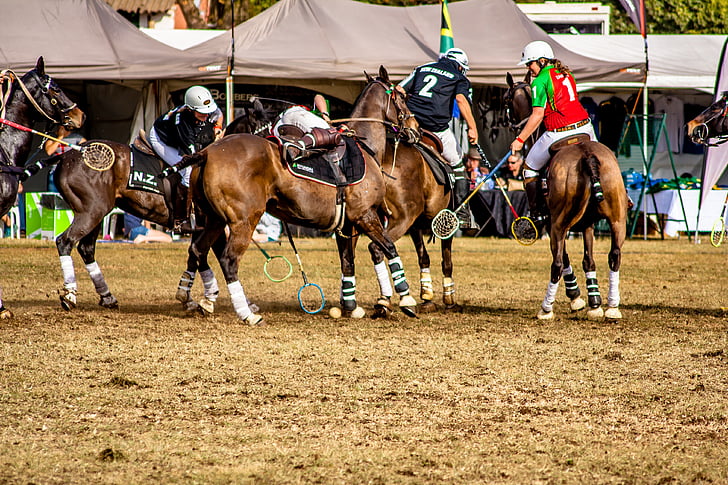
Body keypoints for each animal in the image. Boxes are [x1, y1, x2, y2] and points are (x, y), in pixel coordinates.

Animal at [171, 71, 420, 322]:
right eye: (403, 96)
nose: (416, 128)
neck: (366, 147)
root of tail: (206, 152)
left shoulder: (347, 225)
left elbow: (348, 262)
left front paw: (351, 305)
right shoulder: (365, 216)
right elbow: (389, 248)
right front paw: (406, 300)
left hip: (213, 218)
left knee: (198, 250)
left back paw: (197, 298)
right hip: (244, 220)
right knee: (228, 260)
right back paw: (247, 314)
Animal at [506, 72, 624, 320]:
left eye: (506, 100)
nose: (510, 127)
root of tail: (587, 156)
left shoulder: (552, 222)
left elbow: (566, 259)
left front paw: (577, 299)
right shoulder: (587, 223)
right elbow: (589, 260)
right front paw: (595, 303)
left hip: (560, 222)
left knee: (557, 264)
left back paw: (545, 309)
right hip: (618, 218)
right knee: (615, 255)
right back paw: (612, 307)